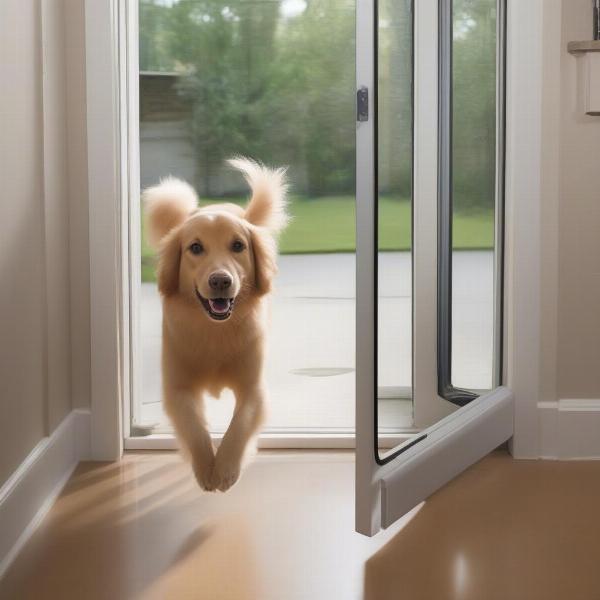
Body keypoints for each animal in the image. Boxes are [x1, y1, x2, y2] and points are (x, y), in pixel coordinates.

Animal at [143, 157, 288, 490]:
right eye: (195, 248)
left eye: (238, 246)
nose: (220, 281)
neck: (214, 330)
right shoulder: (178, 387)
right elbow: (194, 427)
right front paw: (204, 468)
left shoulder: (253, 387)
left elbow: (239, 426)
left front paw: (225, 469)